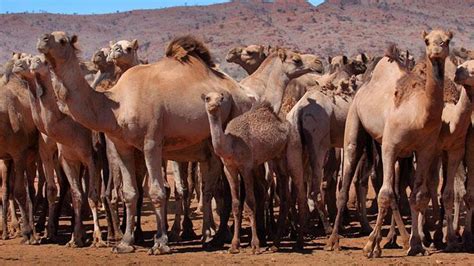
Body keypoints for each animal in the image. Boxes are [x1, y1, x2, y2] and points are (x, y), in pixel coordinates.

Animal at [11, 55, 106, 248]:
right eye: (25, 59)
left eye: (38, 60)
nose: (18, 65)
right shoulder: (58, 156)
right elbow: (68, 192)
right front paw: (73, 237)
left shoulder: (90, 157)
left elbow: (91, 195)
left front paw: (98, 238)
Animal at [326, 29, 452, 258]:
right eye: (427, 40)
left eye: (446, 41)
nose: (436, 50)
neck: (419, 114)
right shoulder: (389, 147)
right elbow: (385, 195)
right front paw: (370, 246)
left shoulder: (425, 150)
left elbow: (417, 196)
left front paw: (417, 244)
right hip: (355, 124)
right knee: (347, 181)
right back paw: (334, 241)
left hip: (394, 150)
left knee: (395, 190)